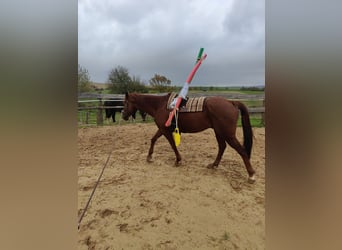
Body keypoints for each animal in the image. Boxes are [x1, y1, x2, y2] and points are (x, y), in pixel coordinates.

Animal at [123, 93, 256, 183]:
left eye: (125, 103)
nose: (124, 115)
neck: (159, 105)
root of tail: (231, 102)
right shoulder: (162, 129)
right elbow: (153, 139)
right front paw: (149, 157)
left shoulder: (165, 130)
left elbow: (172, 144)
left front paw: (178, 160)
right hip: (219, 132)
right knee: (222, 147)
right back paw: (214, 165)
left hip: (228, 134)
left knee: (241, 150)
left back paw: (251, 175)